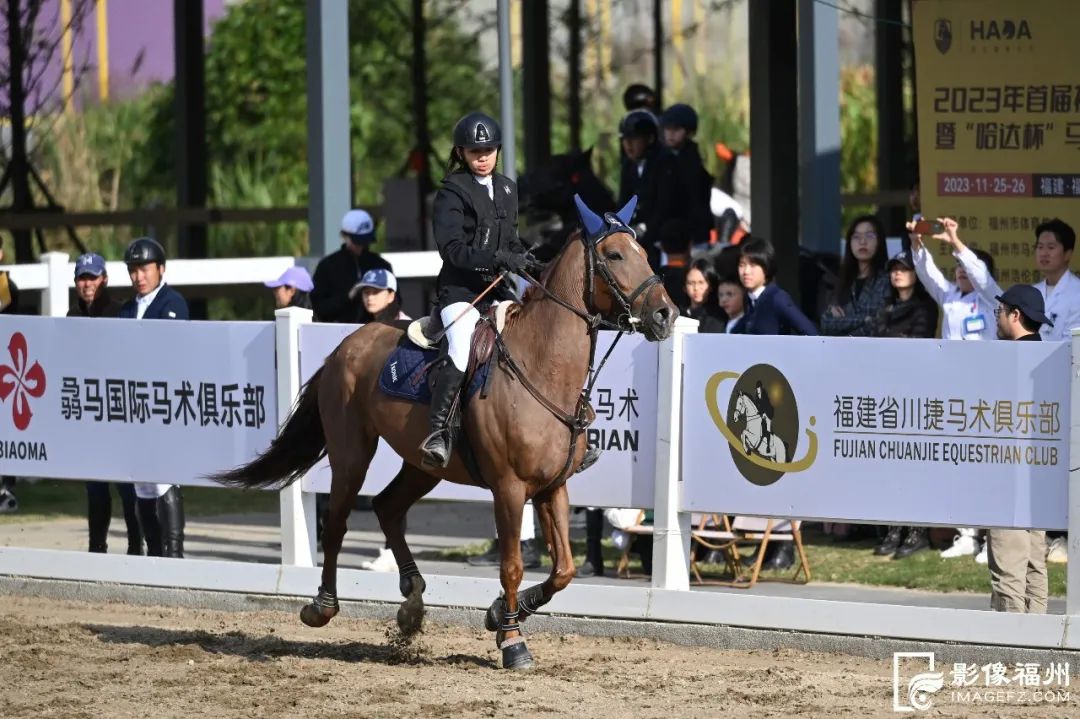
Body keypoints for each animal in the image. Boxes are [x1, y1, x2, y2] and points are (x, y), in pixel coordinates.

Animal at [207, 193, 678, 669]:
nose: (666, 314)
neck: (540, 368)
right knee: (338, 521)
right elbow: (512, 565)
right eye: (614, 255)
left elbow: (564, 569)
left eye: (643, 251)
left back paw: (412, 603)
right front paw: (513, 641)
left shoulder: (552, 486)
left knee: (387, 507)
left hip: (423, 465)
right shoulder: (509, 488)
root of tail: (345, 345)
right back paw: (322, 607)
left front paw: (499, 615)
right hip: (352, 453)